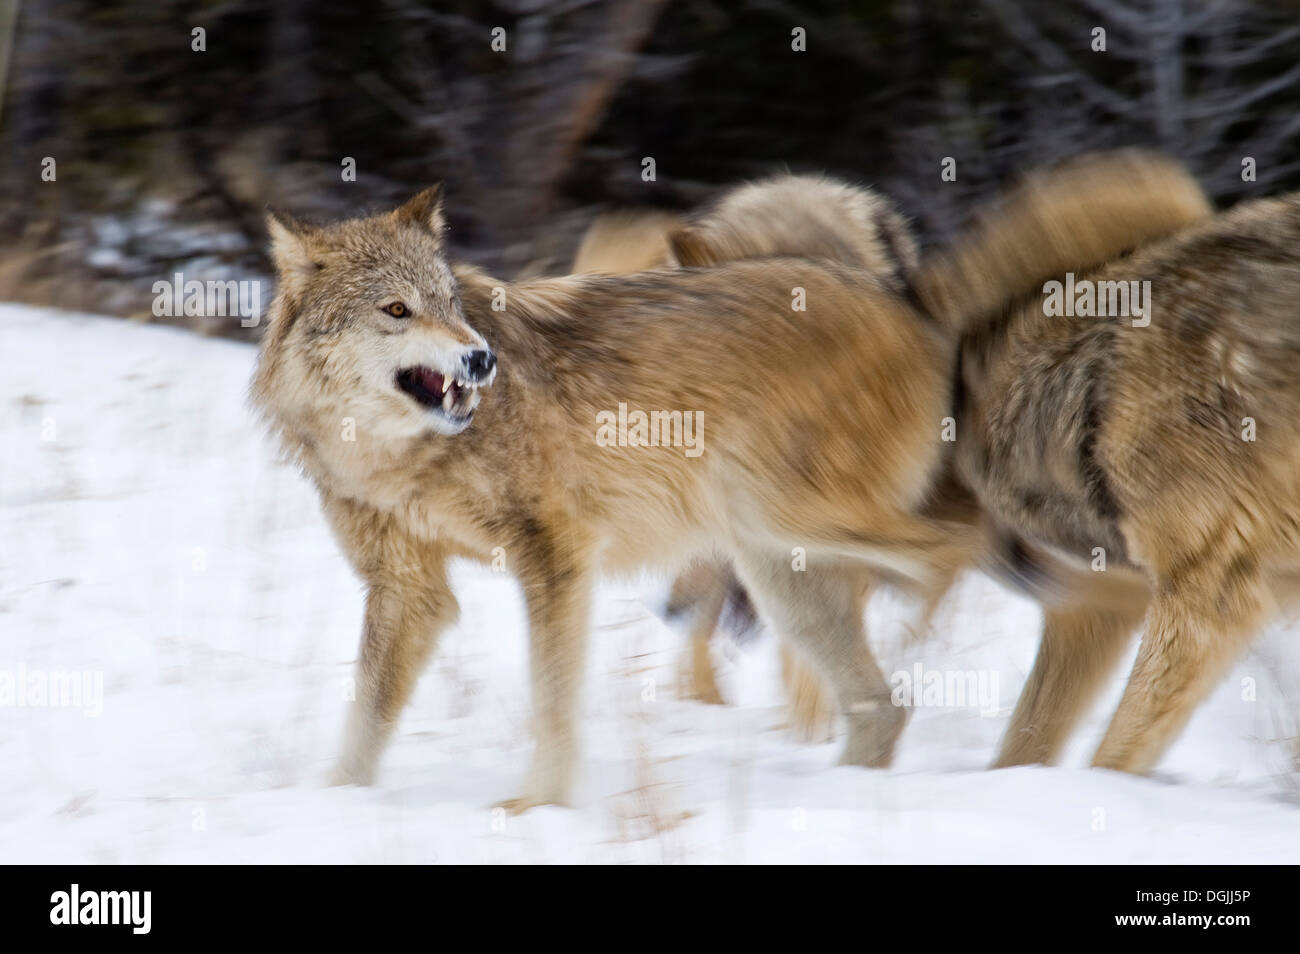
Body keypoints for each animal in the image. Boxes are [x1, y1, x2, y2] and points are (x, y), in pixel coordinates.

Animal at [253, 186, 969, 810]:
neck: (404, 456)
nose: (481, 360)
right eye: (396, 310)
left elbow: (551, 697)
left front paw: (539, 804)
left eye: (449, 303)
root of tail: (897, 302)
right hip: (779, 565)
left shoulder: (555, 557)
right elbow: (365, 715)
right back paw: (847, 783)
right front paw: (333, 801)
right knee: (882, 702)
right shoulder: (408, 589)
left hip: (779, 517)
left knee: (958, 547)